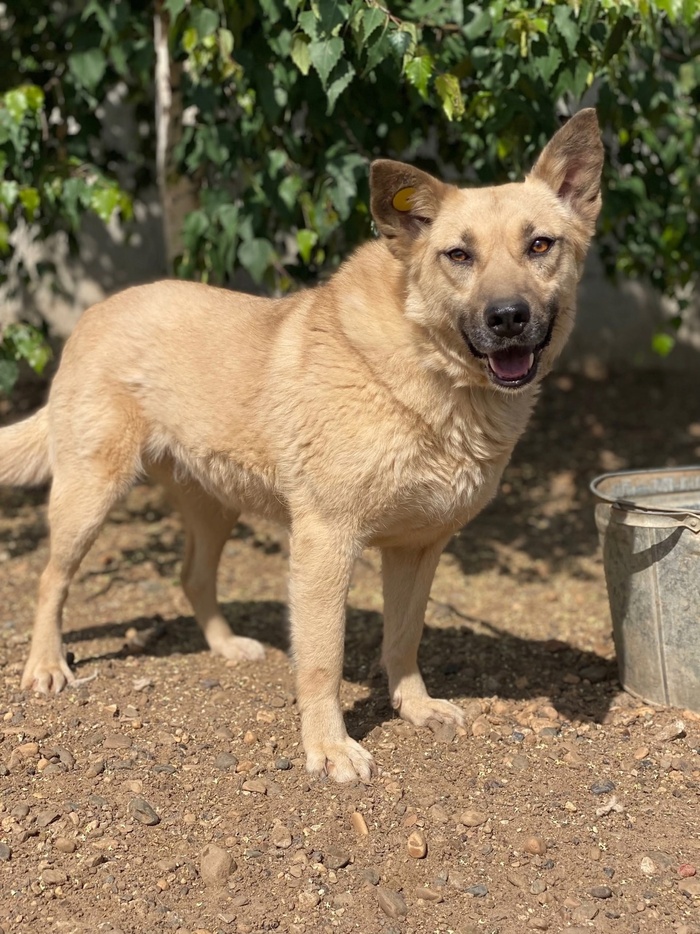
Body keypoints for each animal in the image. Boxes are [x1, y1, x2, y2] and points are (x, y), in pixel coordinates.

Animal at [0, 109, 603, 782]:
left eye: (540, 245)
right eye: (458, 254)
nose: (508, 317)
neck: (431, 377)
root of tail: (93, 313)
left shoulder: (418, 549)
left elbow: (405, 637)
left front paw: (415, 707)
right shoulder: (325, 541)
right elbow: (322, 659)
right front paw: (329, 747)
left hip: (215, 505)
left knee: (192, 575)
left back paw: (225, 646)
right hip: (89, 497)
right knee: (51, 579)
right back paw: (46, 665)